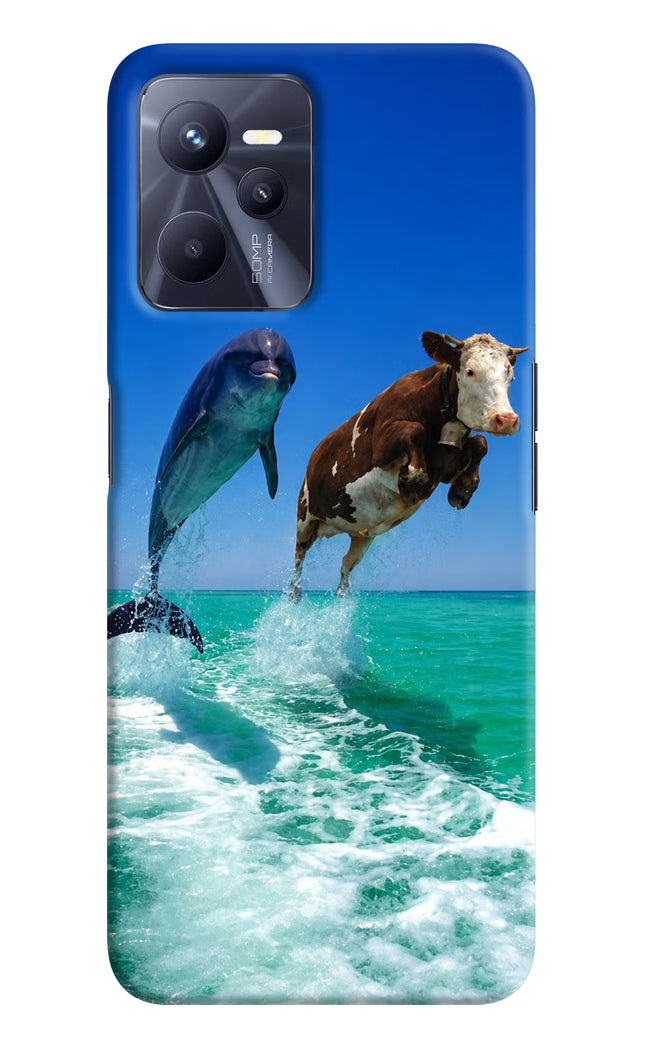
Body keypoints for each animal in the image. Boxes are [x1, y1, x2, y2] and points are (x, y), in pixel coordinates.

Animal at [289, 330, 529, 600]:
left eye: (510, 375)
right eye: (470, 371)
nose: (506, 420)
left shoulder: (446, 466)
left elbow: (480, 442)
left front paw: (463, 489)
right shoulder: (381, 447)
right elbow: (414, 430)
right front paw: (413, 480)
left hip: (361, 534)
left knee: (345, 565)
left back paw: (343, 597)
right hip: (304, 516)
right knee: (298, 560)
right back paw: (295, 594)